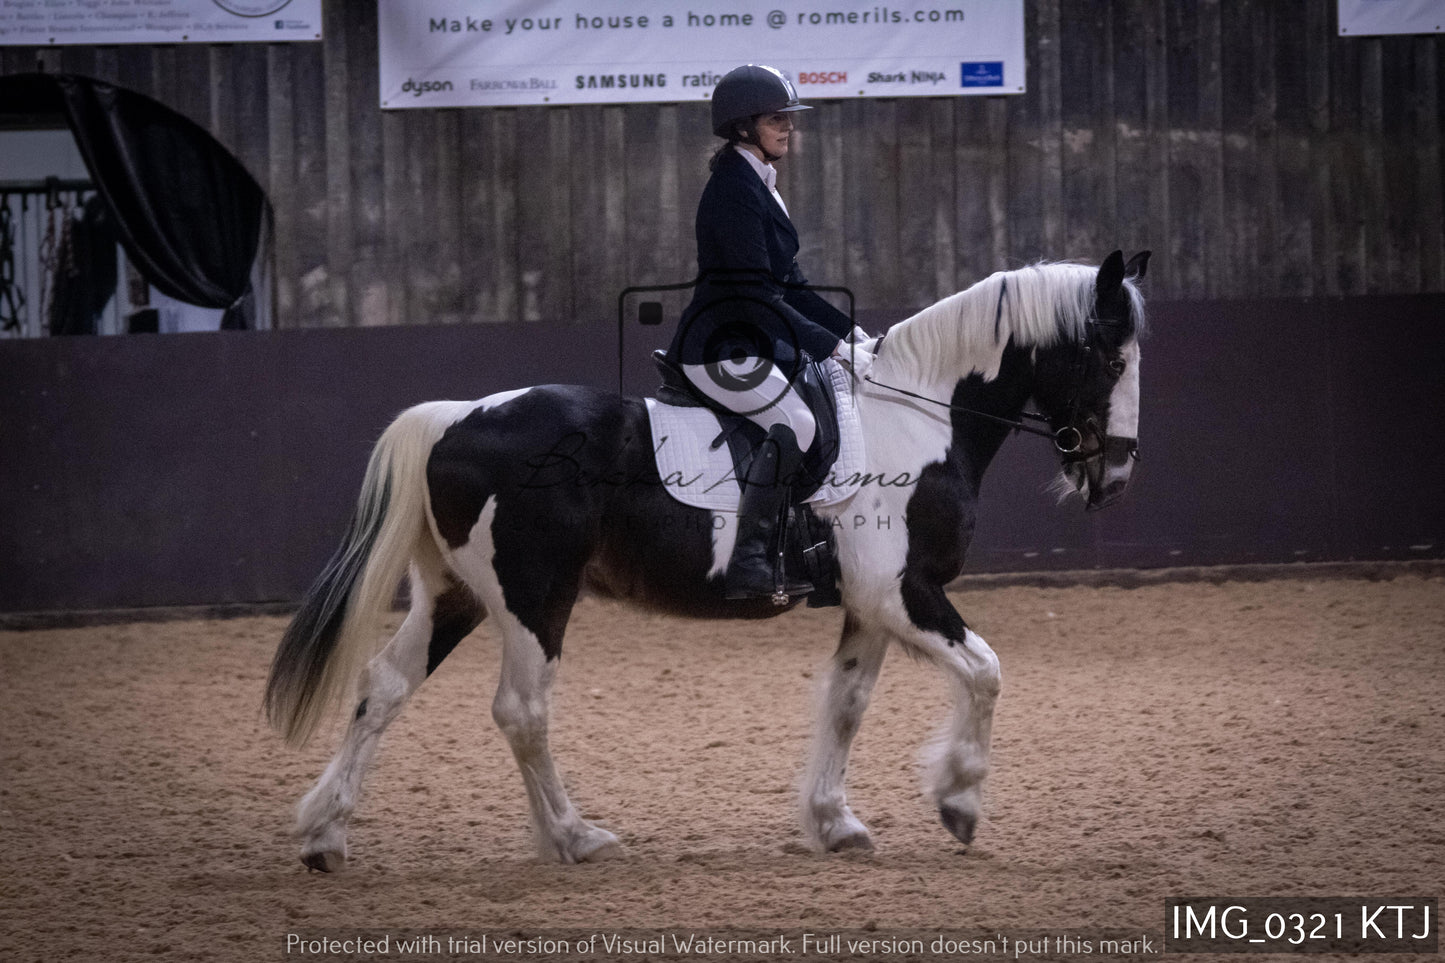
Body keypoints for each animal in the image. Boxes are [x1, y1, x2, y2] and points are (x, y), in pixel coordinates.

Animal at [262, 251, 1150, 867]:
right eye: (1112, 360)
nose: (1114, 476)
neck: (919, 417)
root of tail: (451, 418)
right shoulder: (901, 591)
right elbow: (986, 669)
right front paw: (959, 800)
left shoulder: (868, 604)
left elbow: (847, 703)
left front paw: (834, 821)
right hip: (532, 597)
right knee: (521, 709)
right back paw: (574, 836)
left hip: (457, 593)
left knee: (385, 685)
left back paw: (325, 835)